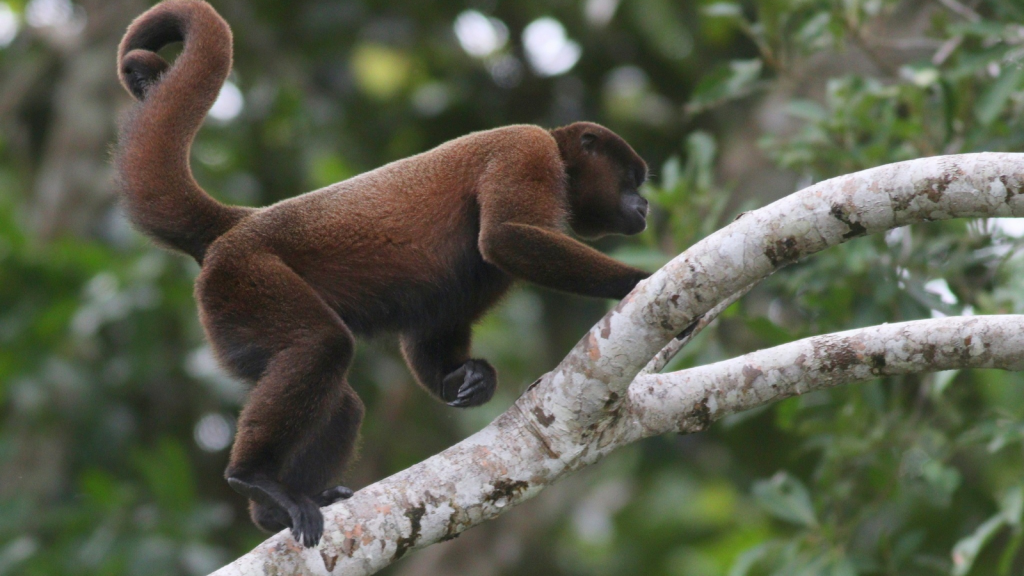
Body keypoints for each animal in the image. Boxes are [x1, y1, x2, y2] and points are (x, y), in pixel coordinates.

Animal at [116, 0, 651, 545]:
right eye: (632, 178)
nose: (646, 204)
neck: (561, 162)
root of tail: (242, 222)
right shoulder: (526, 150)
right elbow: (505, 239)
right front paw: (633, 280)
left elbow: (432, 330)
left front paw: (475, 378)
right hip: (244, 278)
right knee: (322, 346)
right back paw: (256, 479)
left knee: (342, 399)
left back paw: (274, 511)